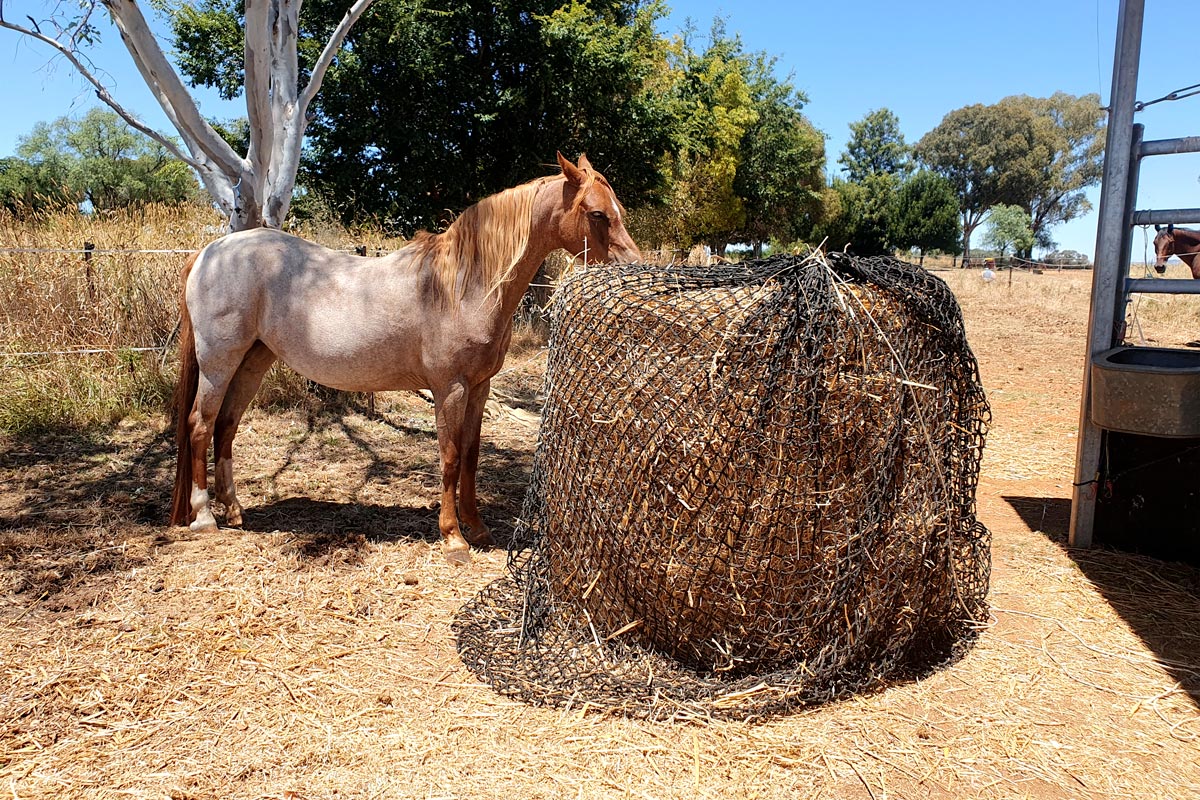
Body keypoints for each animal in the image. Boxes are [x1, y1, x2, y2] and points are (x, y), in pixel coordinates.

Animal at [172, 149, 643, 563]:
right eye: (597, 214)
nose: (633, 266)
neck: (463, 285)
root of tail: (209, 253)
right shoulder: (449, 388)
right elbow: (450, 458)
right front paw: (454, 538)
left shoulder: (480, 388)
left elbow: (471, 456)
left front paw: (478, 527)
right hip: (218, 363)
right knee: (200, 425)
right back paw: (205, 517)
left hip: (253, 361)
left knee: (226, 426)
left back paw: (234, 511)